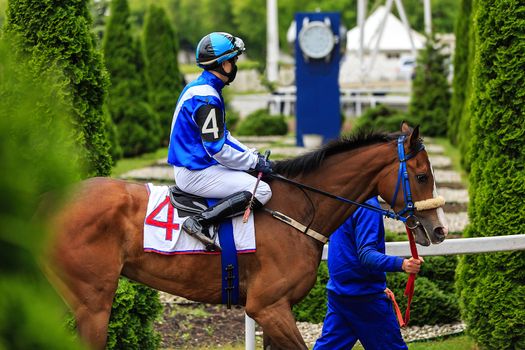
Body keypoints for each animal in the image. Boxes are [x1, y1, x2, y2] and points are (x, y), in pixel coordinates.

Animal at [44, 122, 446, 348]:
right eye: (422, 175)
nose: (439, 229)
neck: (298, 208)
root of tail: (51, 200)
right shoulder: (267, 306)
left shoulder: (277, 309)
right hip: (94, 303)